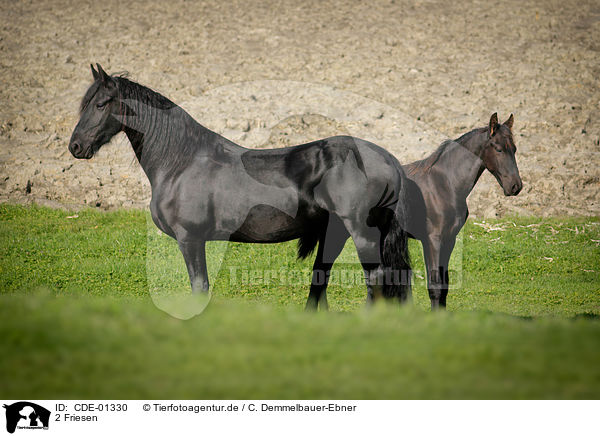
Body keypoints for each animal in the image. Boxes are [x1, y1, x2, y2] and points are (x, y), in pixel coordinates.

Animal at [68, 64, 410, 310]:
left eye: (101, 104)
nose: (76, 147)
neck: (181, 161)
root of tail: (387, 158)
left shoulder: (190, 239)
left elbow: (199, 287)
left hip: (361, 232)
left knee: (376, 279)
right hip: (336, 232)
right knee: (323, 278)